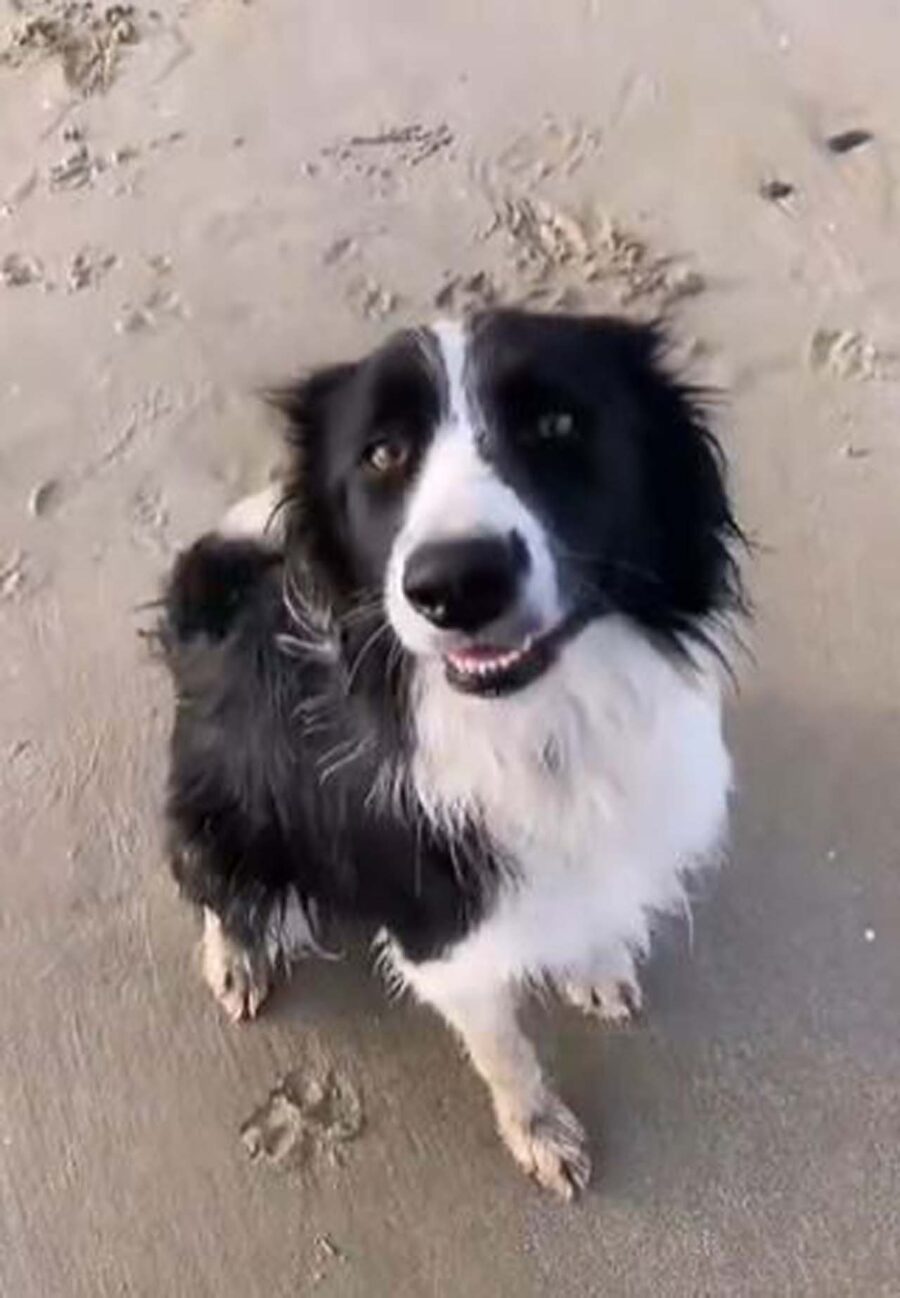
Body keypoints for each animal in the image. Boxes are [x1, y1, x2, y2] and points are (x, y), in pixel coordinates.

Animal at [157, 306, 742, 1194]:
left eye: (556, 423)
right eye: (382, 453)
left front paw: (594, 963)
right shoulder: (443, 937)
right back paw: (238, 952)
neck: (540, 726)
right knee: (217, 886)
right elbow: (503, 1050)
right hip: (221, 813)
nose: (458, 584)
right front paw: (538, 1129)